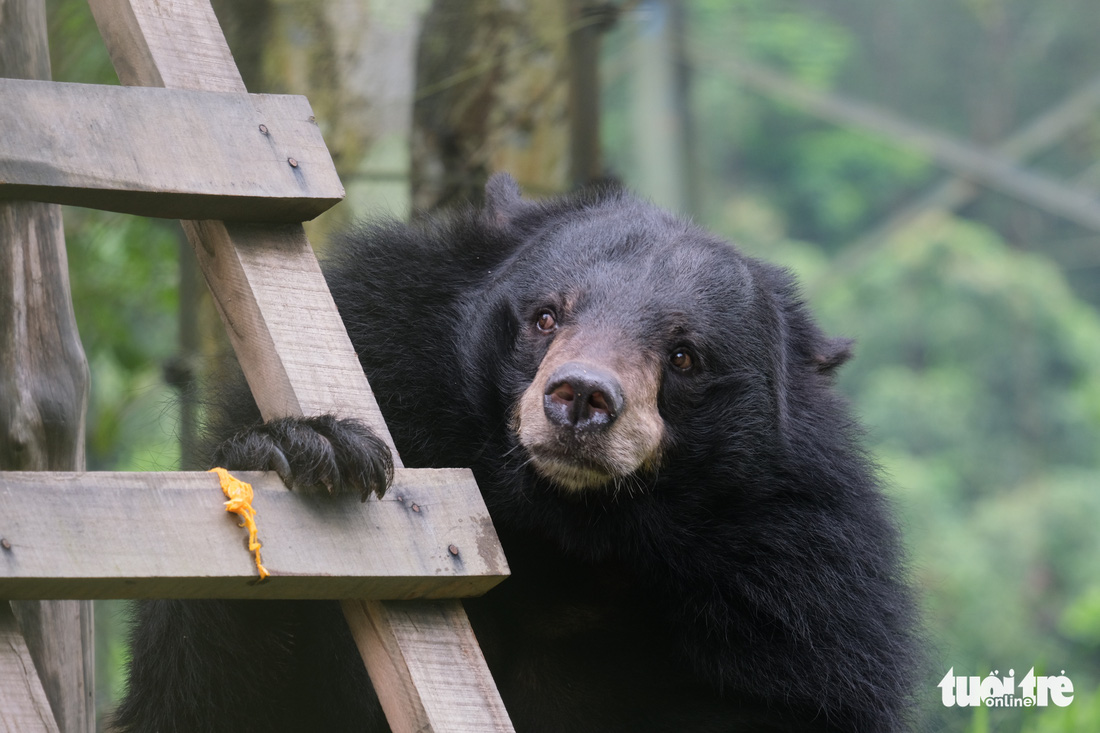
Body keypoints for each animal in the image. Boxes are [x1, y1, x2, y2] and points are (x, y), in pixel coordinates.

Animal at [113, 173, 919, 726]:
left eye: (685, 355)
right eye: (545, 316)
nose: (581, 397)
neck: (569, 527)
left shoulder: (792, 600)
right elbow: (214, 694)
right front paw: (315, 450)